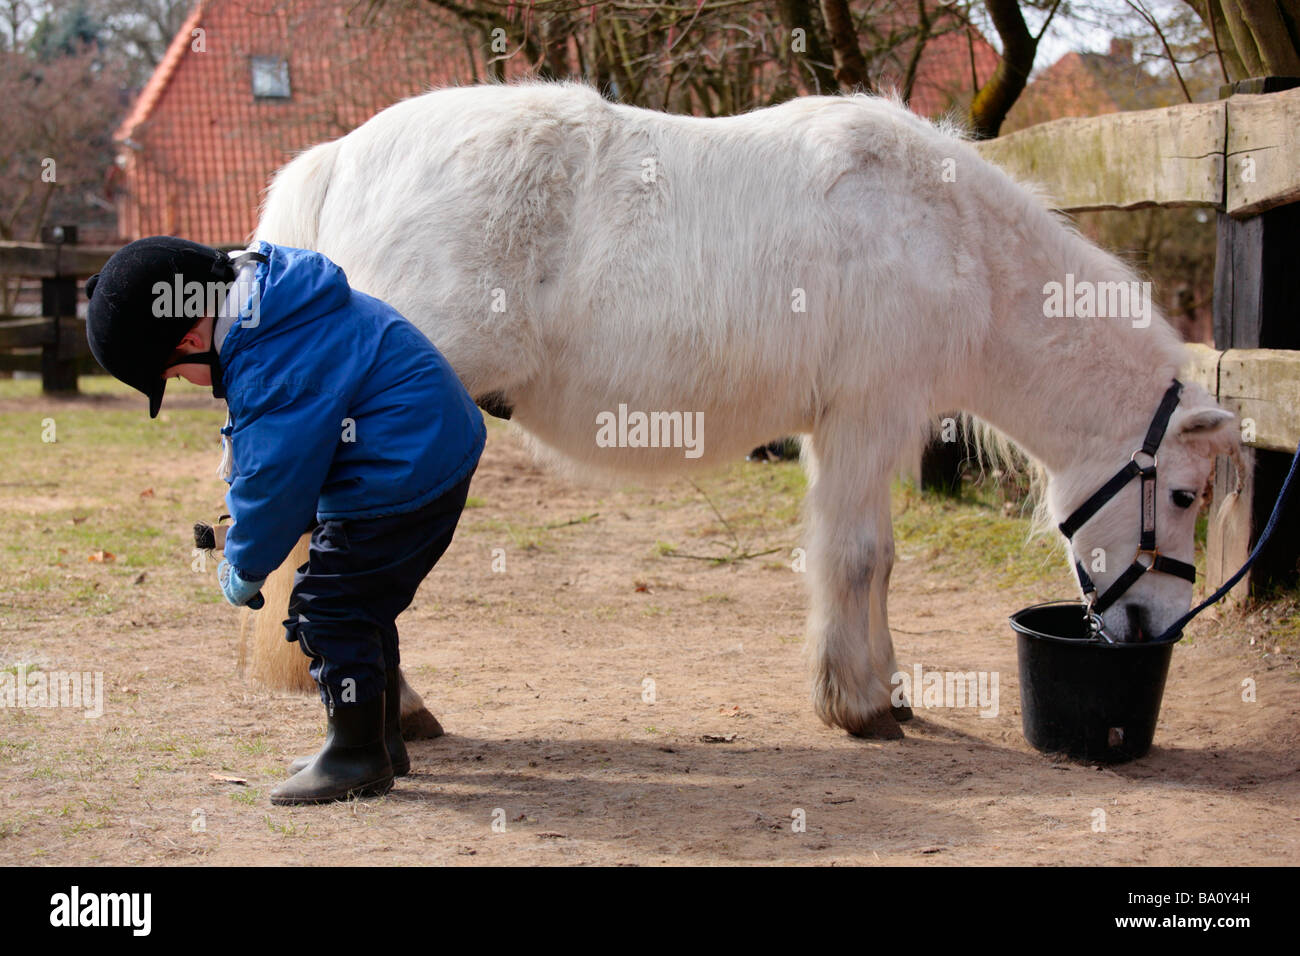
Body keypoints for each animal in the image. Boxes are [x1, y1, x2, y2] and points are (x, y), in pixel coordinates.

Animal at [248, 80, 1238, 740]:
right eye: (1184, 496)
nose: (1157, 627)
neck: (945, 233)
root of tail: (340, 161)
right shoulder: (867, 419)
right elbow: (859, 558)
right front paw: (860, 704)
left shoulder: (844, 431)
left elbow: (871, 562)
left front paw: (881, 686)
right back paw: (402, 709)